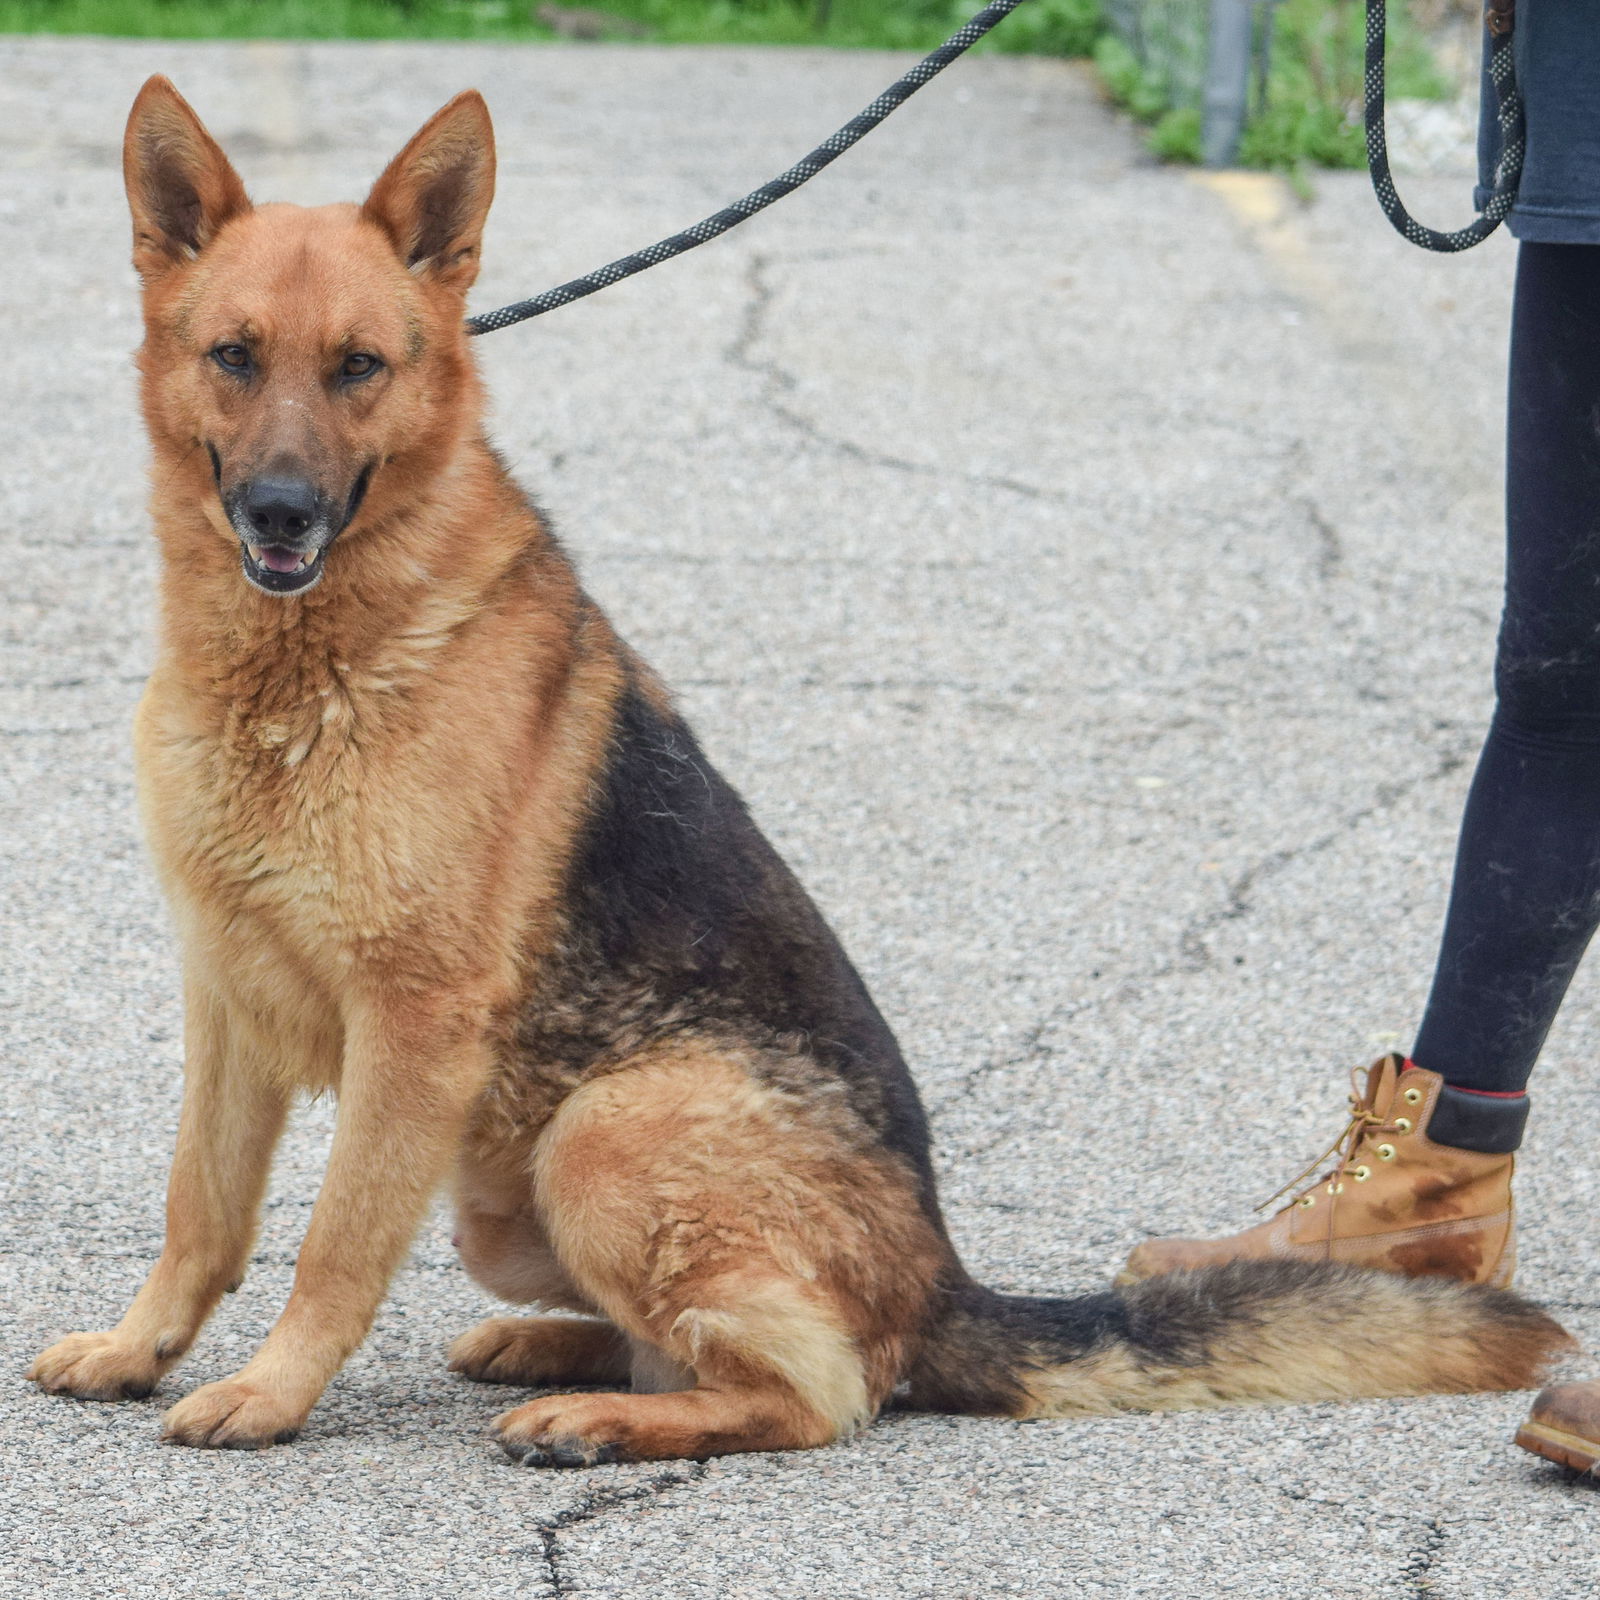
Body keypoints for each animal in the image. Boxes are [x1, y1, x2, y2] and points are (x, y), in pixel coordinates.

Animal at [28, 84, 1574, 1465]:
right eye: (235, 355)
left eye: (359, 366)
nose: (281, 513)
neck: (308, 664)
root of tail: (943, 1281)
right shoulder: (226, 998)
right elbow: (200, 1211)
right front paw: (140, 1347)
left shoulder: (411, 1032)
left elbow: (331, 1248)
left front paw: (271, 1393)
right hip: (509, 1190)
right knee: (721, 1344)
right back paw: (554, 1353)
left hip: (599, 1130)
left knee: (822, 1392)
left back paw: (600, 1418)